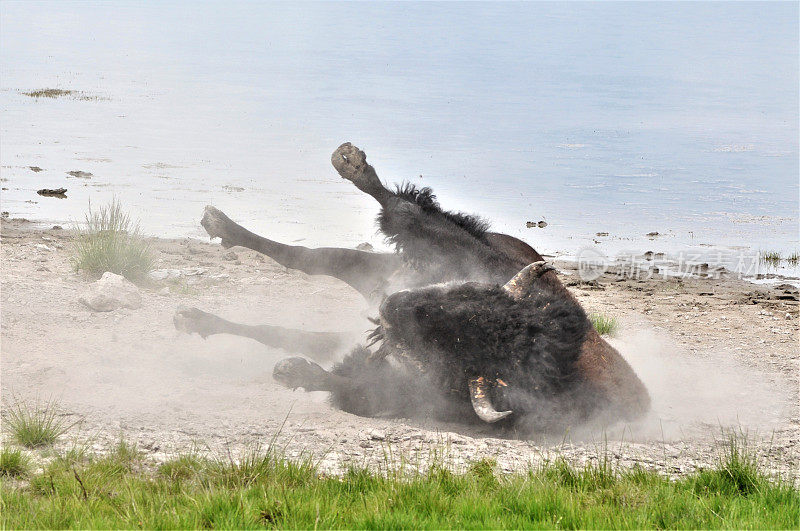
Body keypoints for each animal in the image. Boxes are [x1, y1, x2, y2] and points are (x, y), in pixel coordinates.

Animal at [175, 143, 648, 434]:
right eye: (467, 296)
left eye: (455, 344)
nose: (395, 307)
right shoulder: (475, 259)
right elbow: (407, 212)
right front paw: (351, 163)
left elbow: (345, 383)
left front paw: (292, 372)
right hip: (396, 265)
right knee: (314, 256)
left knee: (300, 307)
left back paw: (194, 313)